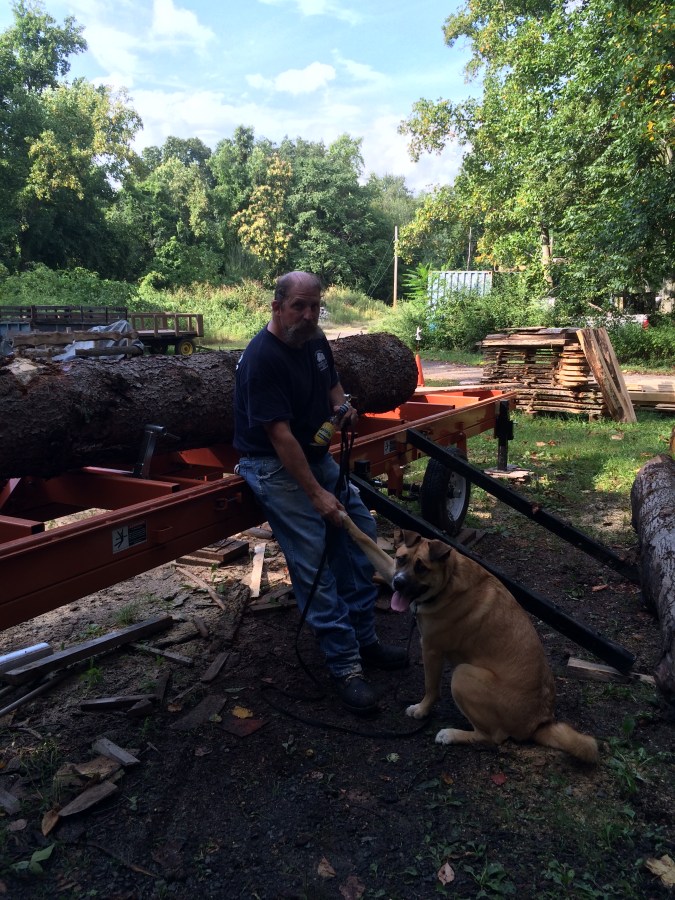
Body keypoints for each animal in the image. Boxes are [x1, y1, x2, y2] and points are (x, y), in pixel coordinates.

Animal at [342, 514, 599, 763]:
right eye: (400, 559)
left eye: (422, 568)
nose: (398, 583)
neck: (447, 581)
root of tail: (538, 723)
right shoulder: (388, 568)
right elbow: (364, 539)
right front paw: (340, 515)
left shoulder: (431, 649)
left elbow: (431, 688)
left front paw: (422, 710)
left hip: (463, 675)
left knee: (494, 736)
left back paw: (451, 734)